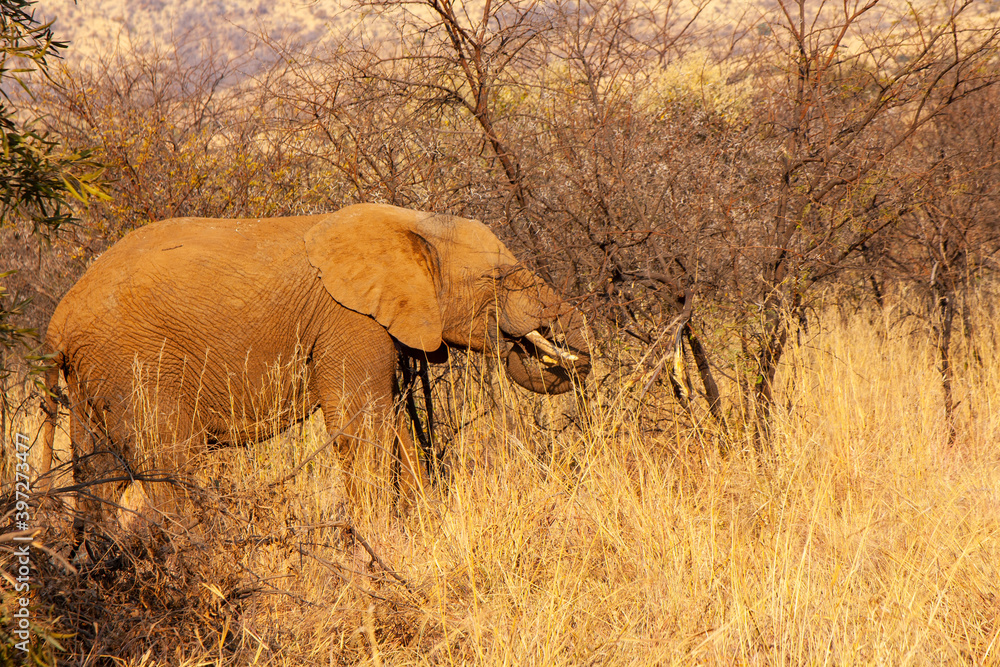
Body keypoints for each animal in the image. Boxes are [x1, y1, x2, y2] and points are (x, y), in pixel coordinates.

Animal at [40, 203, 590, 528]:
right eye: (501, 278)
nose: (571, 354)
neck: (409, 223)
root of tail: (57, 323)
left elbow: (393, 423)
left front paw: (419, 527)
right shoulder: (349, 318)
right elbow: (359, 426)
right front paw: (377, 539)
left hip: (95, 378)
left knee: (100, 471)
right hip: (138, 363)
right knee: (170, 466)